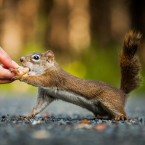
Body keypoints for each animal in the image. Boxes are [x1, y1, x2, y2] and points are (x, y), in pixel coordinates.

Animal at [10, 31, 142, 120]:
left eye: (36, 57)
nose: (21, 59)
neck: (49, 68)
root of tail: (122, 93)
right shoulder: (46, 93)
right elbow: (38, 106)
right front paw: (28, 115)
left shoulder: (51, 78)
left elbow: (37, 81)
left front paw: (20, 76)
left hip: (109, 100)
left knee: (121, 112)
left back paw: (120, 117)